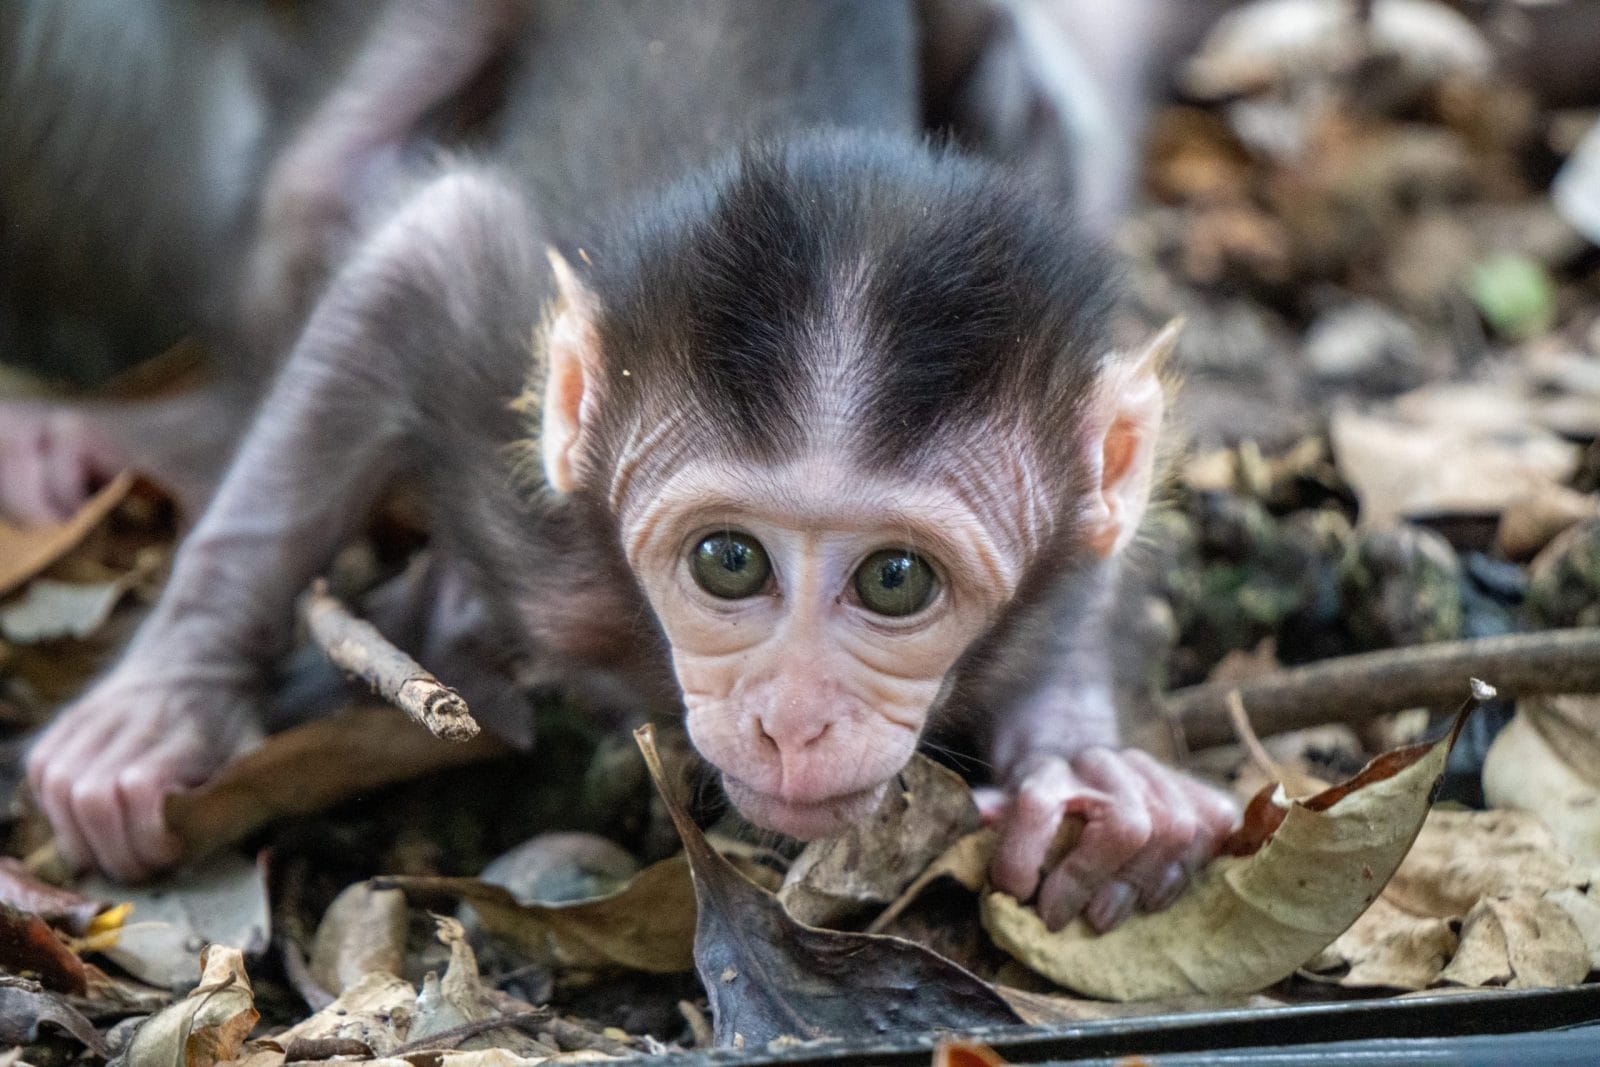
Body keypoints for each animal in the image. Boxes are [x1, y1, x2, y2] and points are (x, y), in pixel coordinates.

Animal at [24, 0, 1238, 934]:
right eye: (728, 562)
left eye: (898, 580)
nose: (793, 723)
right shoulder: (518, 441)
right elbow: (426, 252)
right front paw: (163, 701)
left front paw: (1089, 773)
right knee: (314, 197)